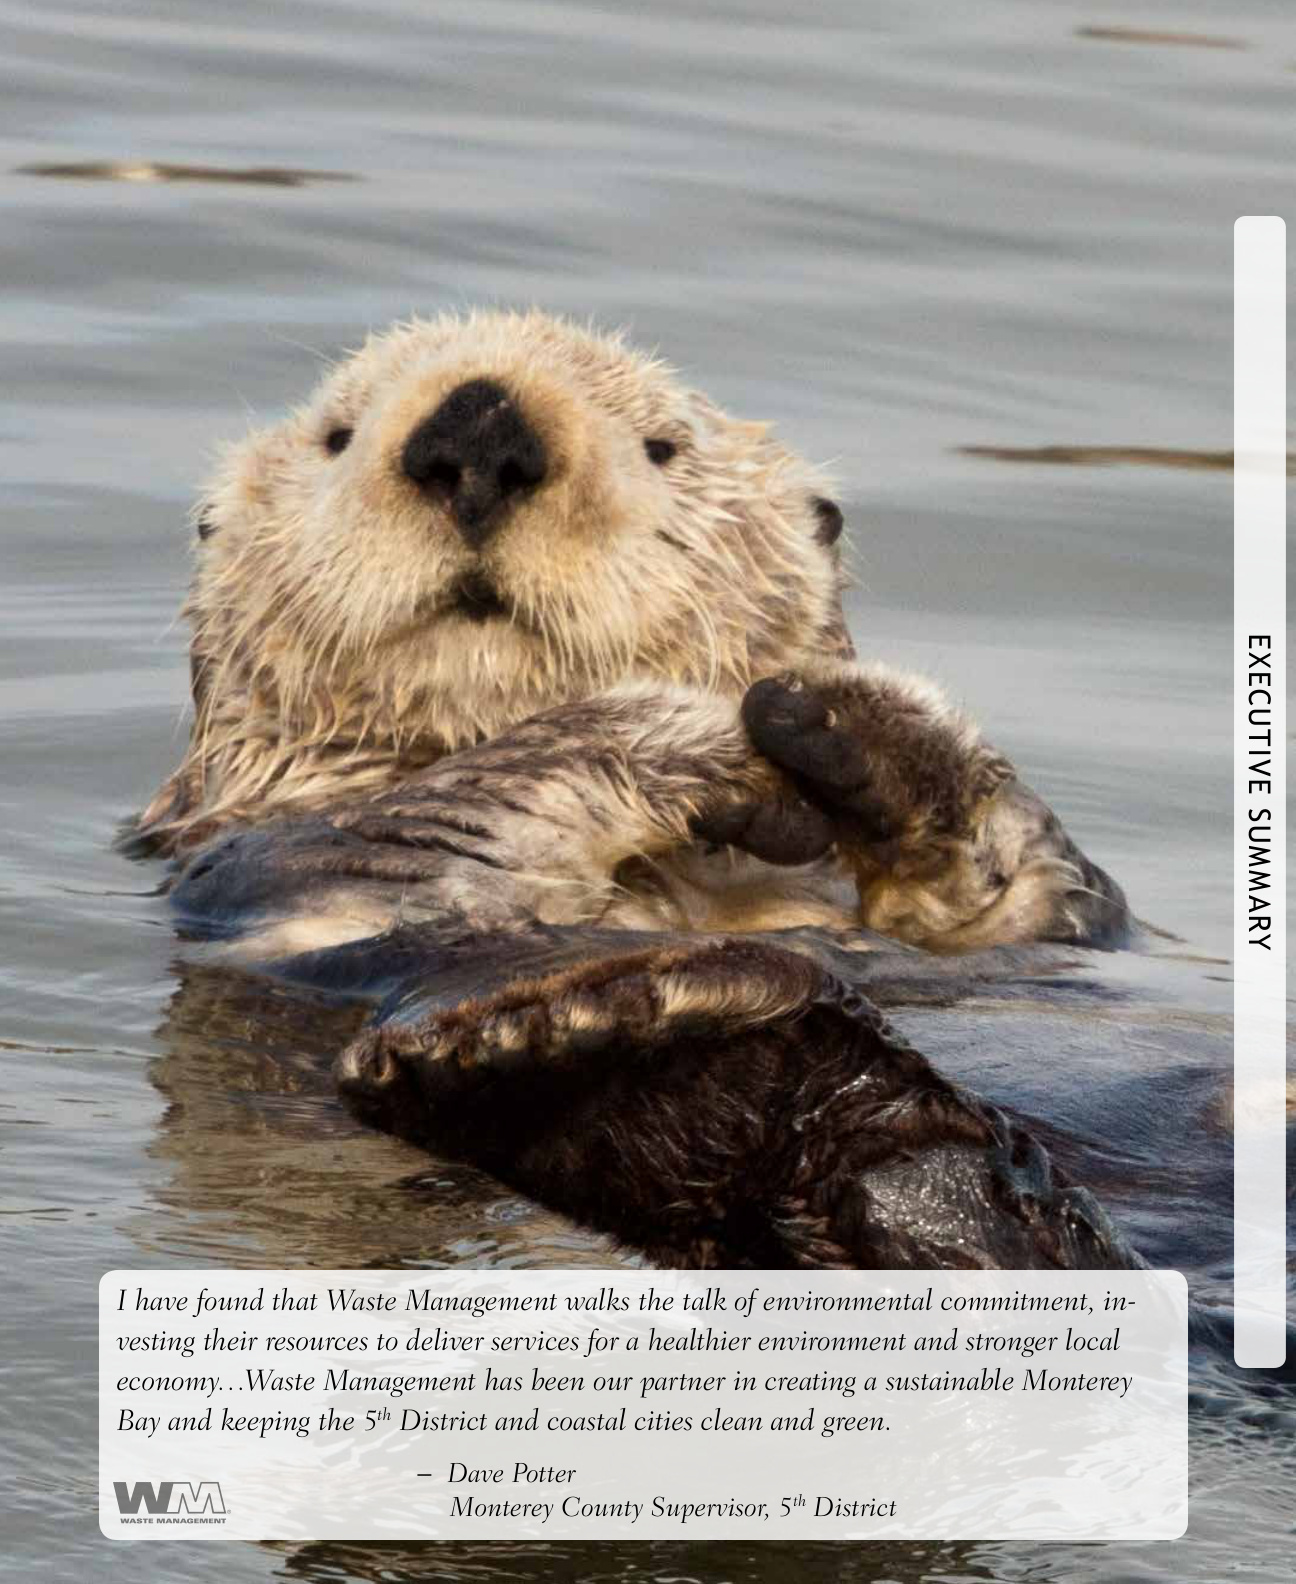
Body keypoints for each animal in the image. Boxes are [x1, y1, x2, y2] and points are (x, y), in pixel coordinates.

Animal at [135, 310, 1135, 1270]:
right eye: (335, 436)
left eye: (663, 446)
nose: (478, 431)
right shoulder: (286, 863)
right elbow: (456, 811)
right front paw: (722, 745)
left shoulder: (1039, 929)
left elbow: (1035, 889)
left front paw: (850, 725)